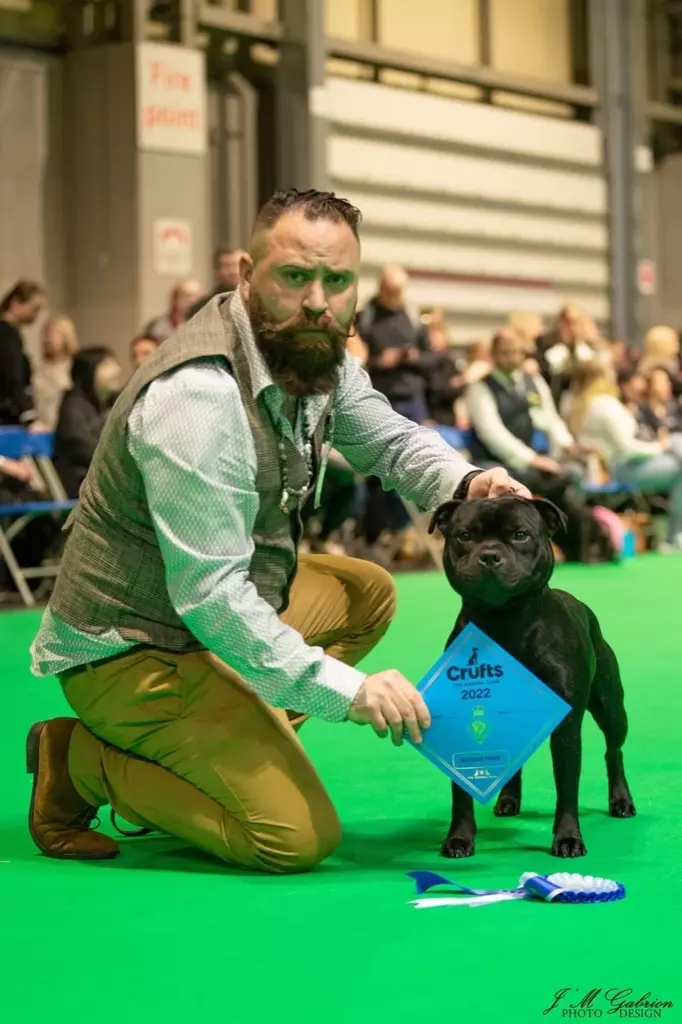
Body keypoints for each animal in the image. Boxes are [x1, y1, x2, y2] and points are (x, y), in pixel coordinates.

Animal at [428, 495, 634, 856]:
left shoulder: (567, 728)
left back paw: (621, 801)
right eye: (464, 536)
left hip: (611, 708)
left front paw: (568, 838)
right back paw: (508, 800)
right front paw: (459, 839)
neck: (504, 620)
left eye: (520, 534)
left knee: (614, 751)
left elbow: (567, 788)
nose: (489, 555)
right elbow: (460, 793)